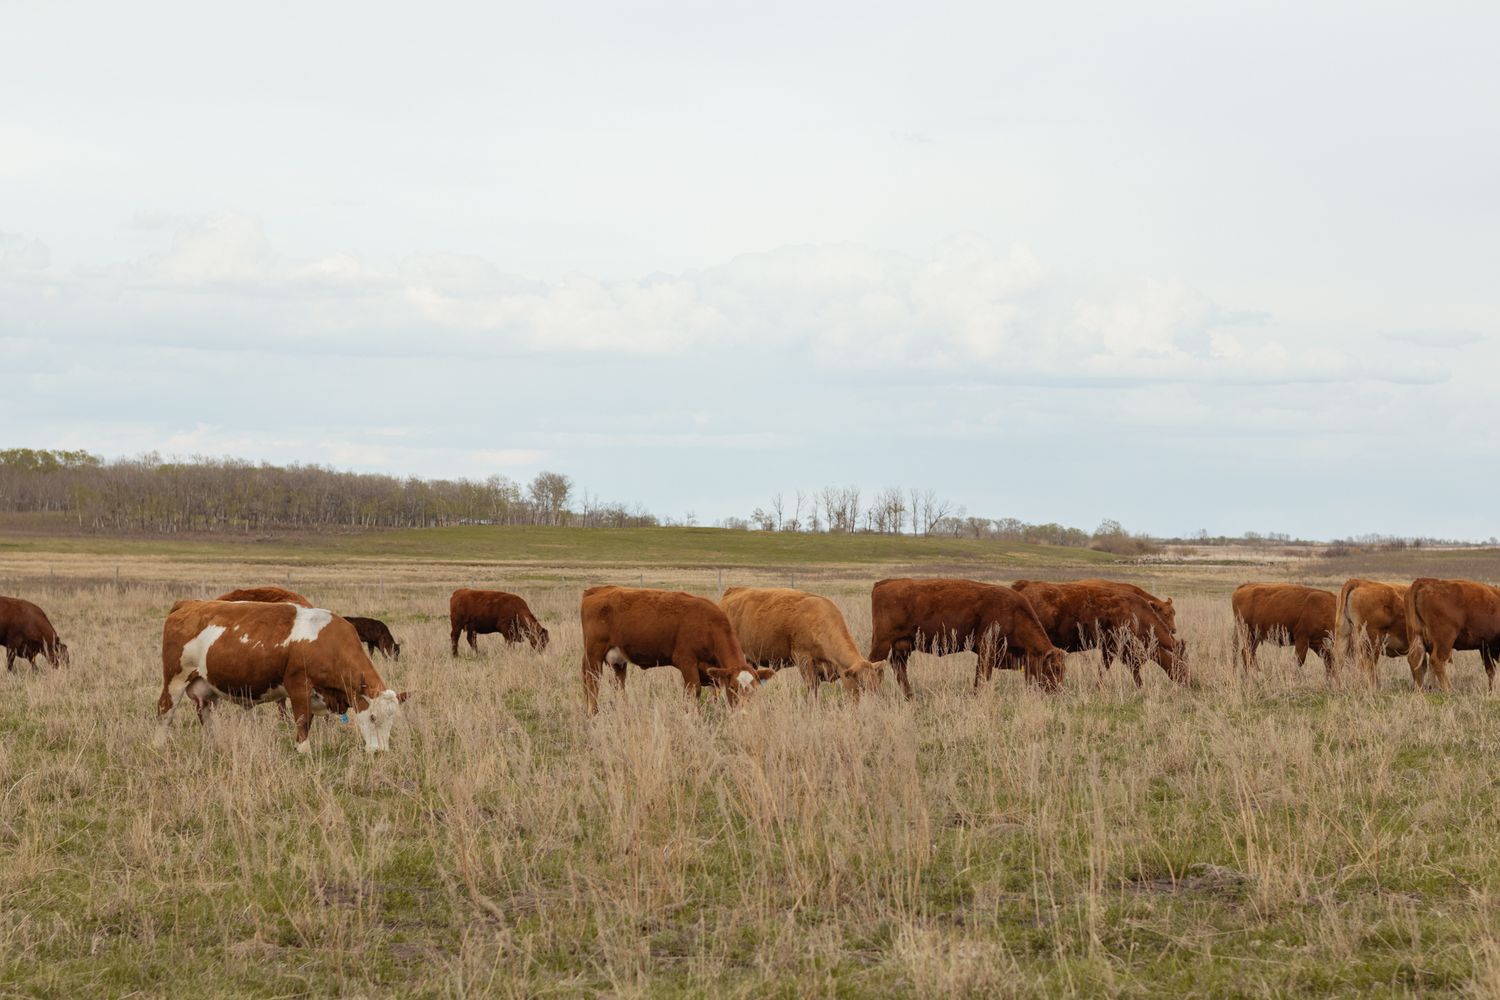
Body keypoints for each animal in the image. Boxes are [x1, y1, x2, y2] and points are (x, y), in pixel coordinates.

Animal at [156, 599, 406, 753]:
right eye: (372, 717)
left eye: (393, 719)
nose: (380, 751)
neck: (328, 642)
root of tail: (190, 604)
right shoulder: (298, 686)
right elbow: (302, 720)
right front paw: (304, 750)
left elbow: (308, 719)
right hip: (175, 679)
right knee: (164, 710)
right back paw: (160, 744)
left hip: (206, 687)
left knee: (206, 716)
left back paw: (214, 745)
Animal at [579, 585, 774, 714]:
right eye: (733, 687)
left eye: (754, 689)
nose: (743, 714)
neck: (708, 625)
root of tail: (597, 590)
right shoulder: (687, 661)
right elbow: (693, 691)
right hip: (594, 654)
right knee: (592, 682)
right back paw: (593, 713)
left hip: (617, 659)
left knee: (617, 683)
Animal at [867, 578, 1066, 698]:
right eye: (1055, 668)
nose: (1058, 692)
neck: (1015, 614)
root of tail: (884, 583)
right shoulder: (987, 649)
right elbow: (982, 676)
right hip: (882, 642)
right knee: (874, 665)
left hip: (903, 644)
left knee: (898, 666)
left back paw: (910, 696)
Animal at [1011, 580, 1188, 686]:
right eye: (1182, 662)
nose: (1189, 681)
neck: (1136, 613)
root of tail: (1024, 585)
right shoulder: (1112, 646)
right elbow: (1109, 668)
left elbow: (1132, 666)